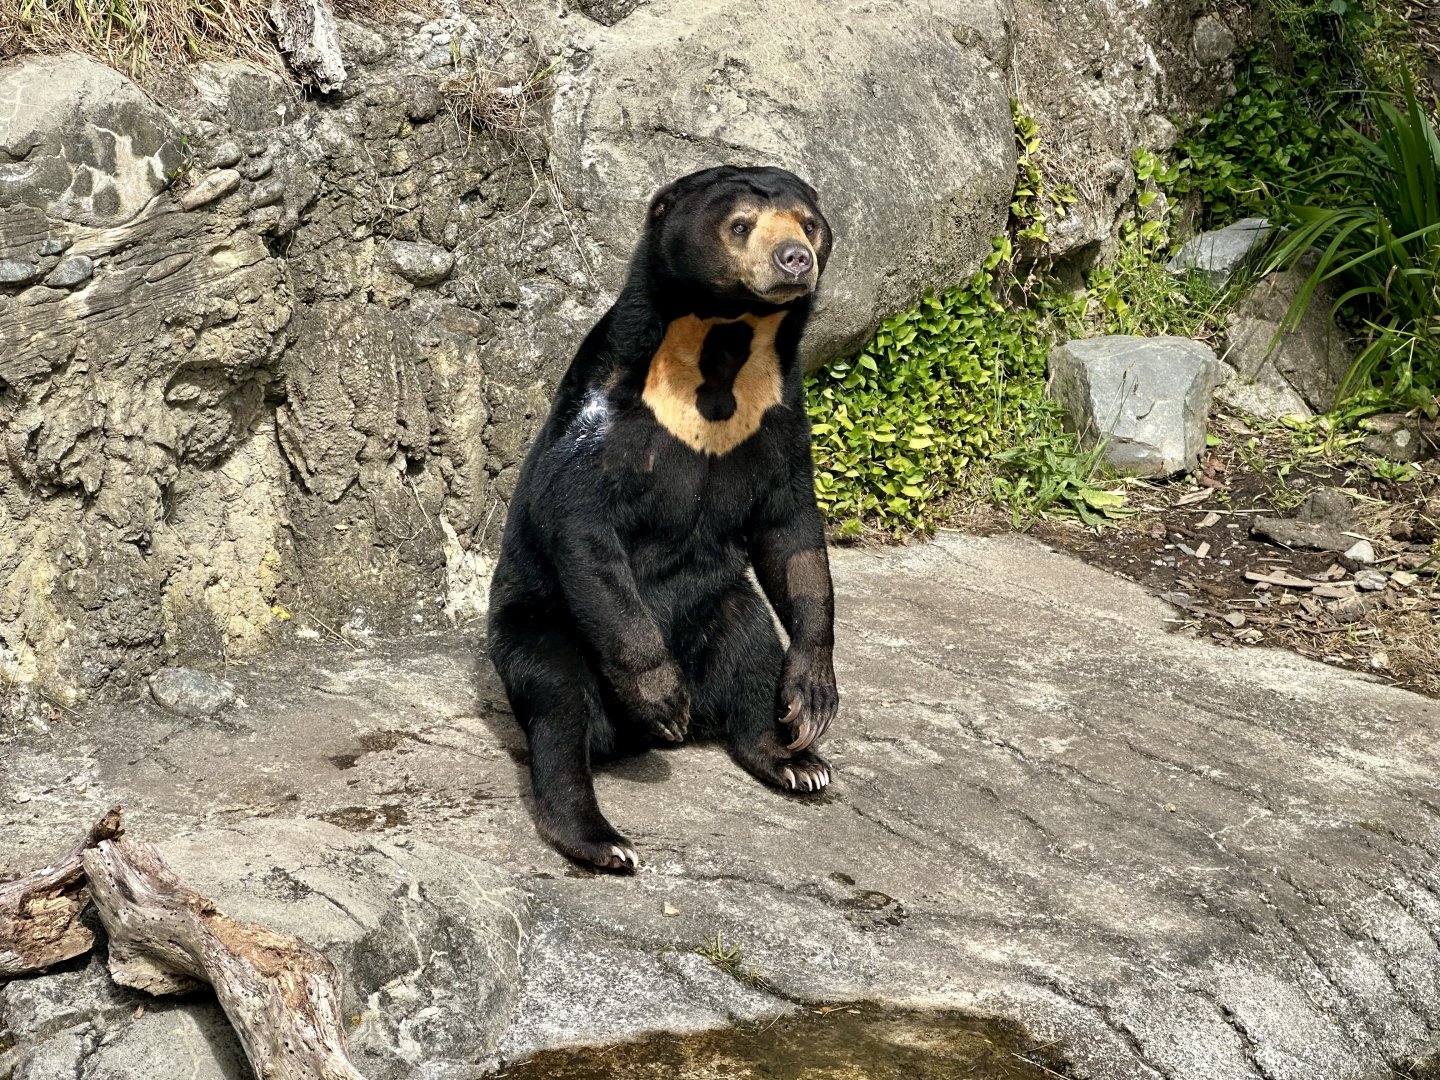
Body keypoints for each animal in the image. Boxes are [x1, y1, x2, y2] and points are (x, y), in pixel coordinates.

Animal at [486, 165, 839, 871]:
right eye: (741, 225)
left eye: (809, 224)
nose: (796, 260)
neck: (723, 345)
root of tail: (622, 740)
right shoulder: (609, 410)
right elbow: (584, 526)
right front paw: (663, 698)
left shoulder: (778, 416)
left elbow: (791, 534)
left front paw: (812, 700)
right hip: (537, 626)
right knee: (558, 707)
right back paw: (602, 836)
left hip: (717, 606)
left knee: (750, 645)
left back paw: (791, 759)